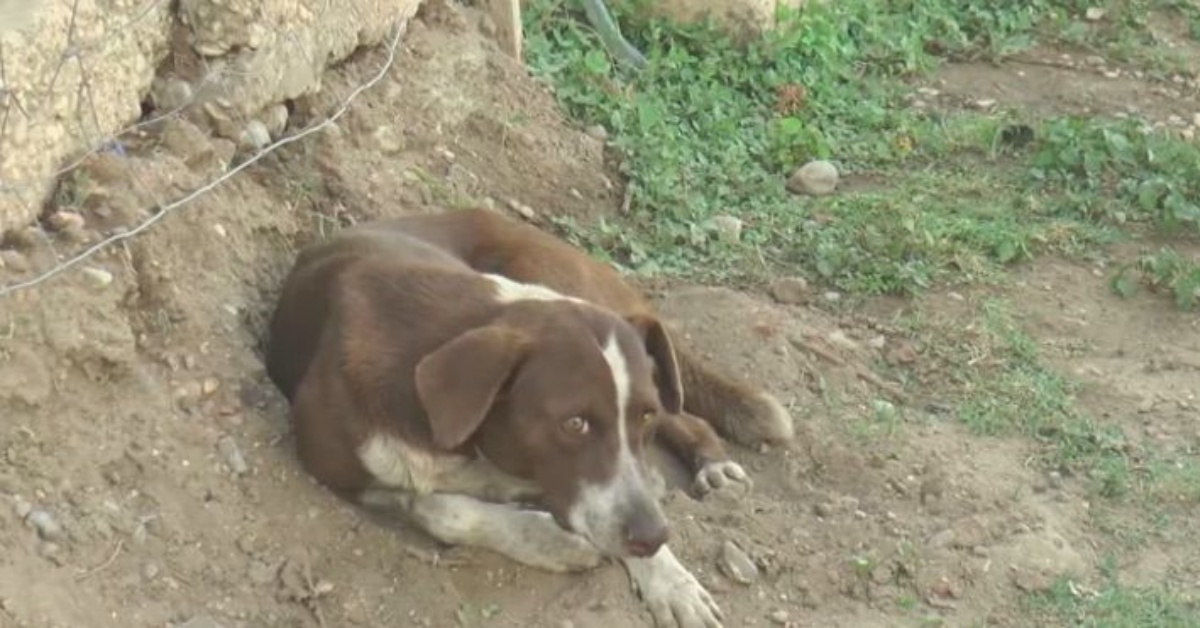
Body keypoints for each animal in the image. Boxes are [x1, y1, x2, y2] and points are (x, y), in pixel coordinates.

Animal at [270, 207, 796, 628]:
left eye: (643, 417)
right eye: (574, 424)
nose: (652, 536)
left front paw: (671, 579)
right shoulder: (337, 471)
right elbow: (441, 508)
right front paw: (551, 542)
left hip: (556, 275)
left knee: (686, 409)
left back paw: (713, 464)